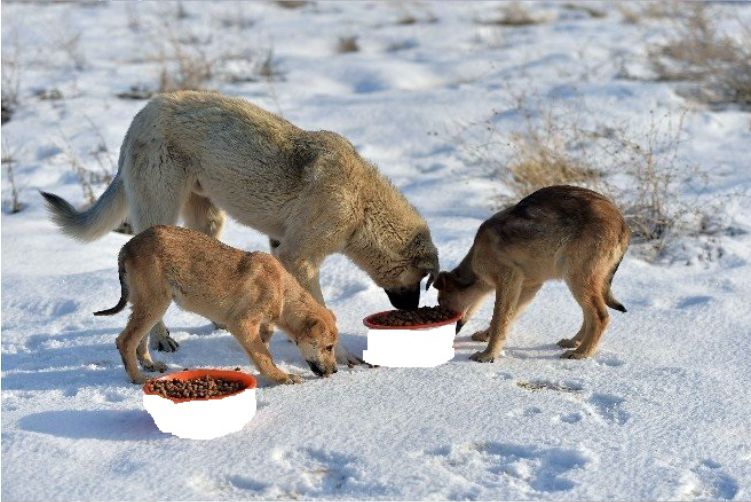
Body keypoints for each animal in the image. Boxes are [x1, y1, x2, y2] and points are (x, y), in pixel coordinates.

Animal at [42, 91, 440, 364]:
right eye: (421, 281)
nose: (412, 314)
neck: (361, 206)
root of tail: (141, 114)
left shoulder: (280, 245)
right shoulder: (299, 256)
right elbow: (320, 309)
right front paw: (340, 356)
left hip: (207, 220)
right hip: (161, 215)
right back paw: (160, 340)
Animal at [95, 226, 340, 386]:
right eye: (328, 347)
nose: (336, 371)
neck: (282, 290)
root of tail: (127, 245)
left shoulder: (259, 326)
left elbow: (263, 347)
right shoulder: (242, 324)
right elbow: (263, 355)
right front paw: (281, 377)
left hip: (149, 304)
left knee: (139, 340)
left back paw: (149, 364)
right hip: (155, 302)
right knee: (125, 340)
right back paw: (137, 378)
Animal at [432, 184, 632, 360]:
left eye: (442, 303)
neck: (476, 261)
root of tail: (624, 225)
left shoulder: (509, 279)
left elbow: (499, 320)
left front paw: (488, 355)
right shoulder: (528, 286)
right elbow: (507, 318)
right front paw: (486, 337)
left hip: (577, 280)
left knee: (601, 317)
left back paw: (582, 353)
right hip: (580, 284)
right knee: (589, 316)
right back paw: (574, 343)